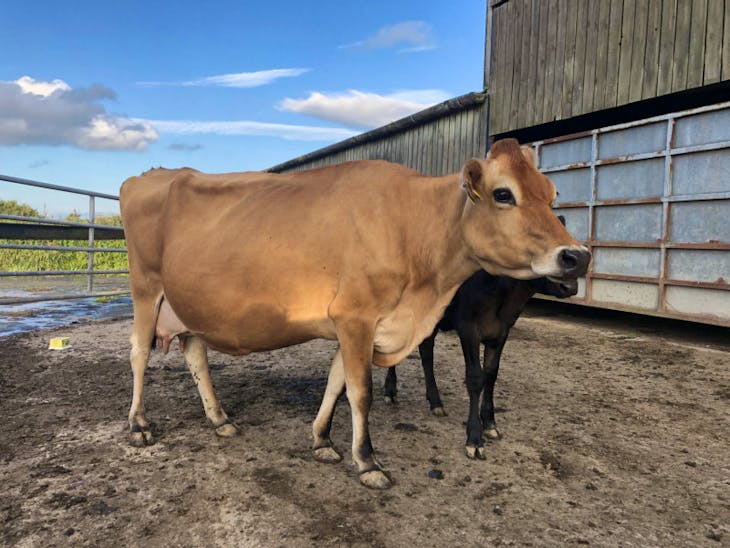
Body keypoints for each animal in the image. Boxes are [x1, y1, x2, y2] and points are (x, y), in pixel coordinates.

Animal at [383, 269, 578, 459]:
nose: (569, 287)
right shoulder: (469, 329)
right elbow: (475, 378)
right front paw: (474, 439)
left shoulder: (501, 332)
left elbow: (491, 374)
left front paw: (490, 424)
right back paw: (390, 391)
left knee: (426, 352)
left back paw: (435, 402)